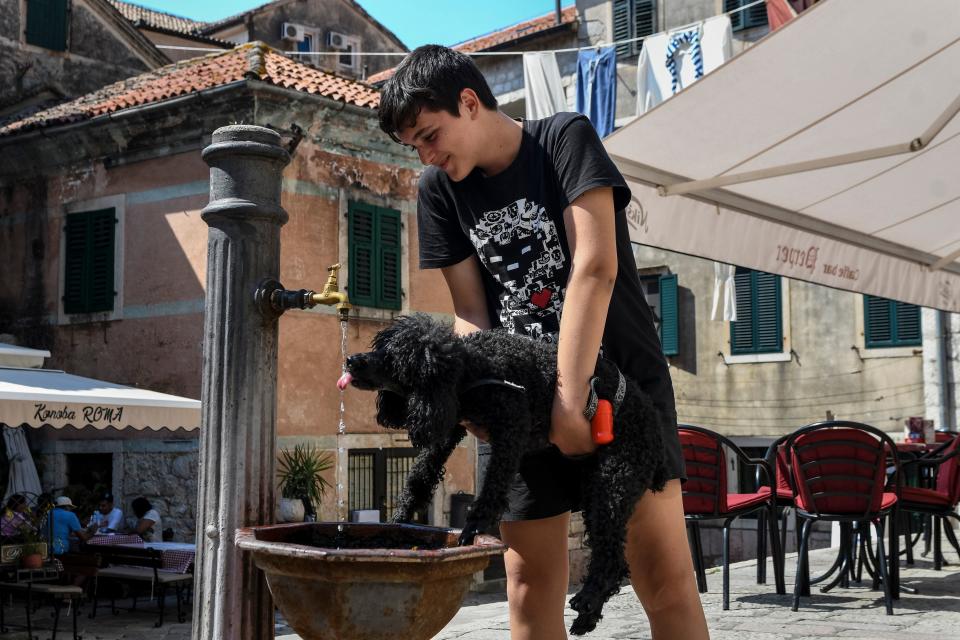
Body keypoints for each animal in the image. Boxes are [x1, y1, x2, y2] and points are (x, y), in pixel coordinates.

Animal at [344, 316, 668, 636]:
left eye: (394, 357)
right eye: (380, 347)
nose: (350, 360)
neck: (471, 368)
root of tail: (653, 419)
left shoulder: (511, 426)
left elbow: (492, 486)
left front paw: (474, 526)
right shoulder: (450, 424)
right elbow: (420, 476)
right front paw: (400, 519)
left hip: (614, 481)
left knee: (611, 554)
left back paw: (587, 600)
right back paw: (588, 616)